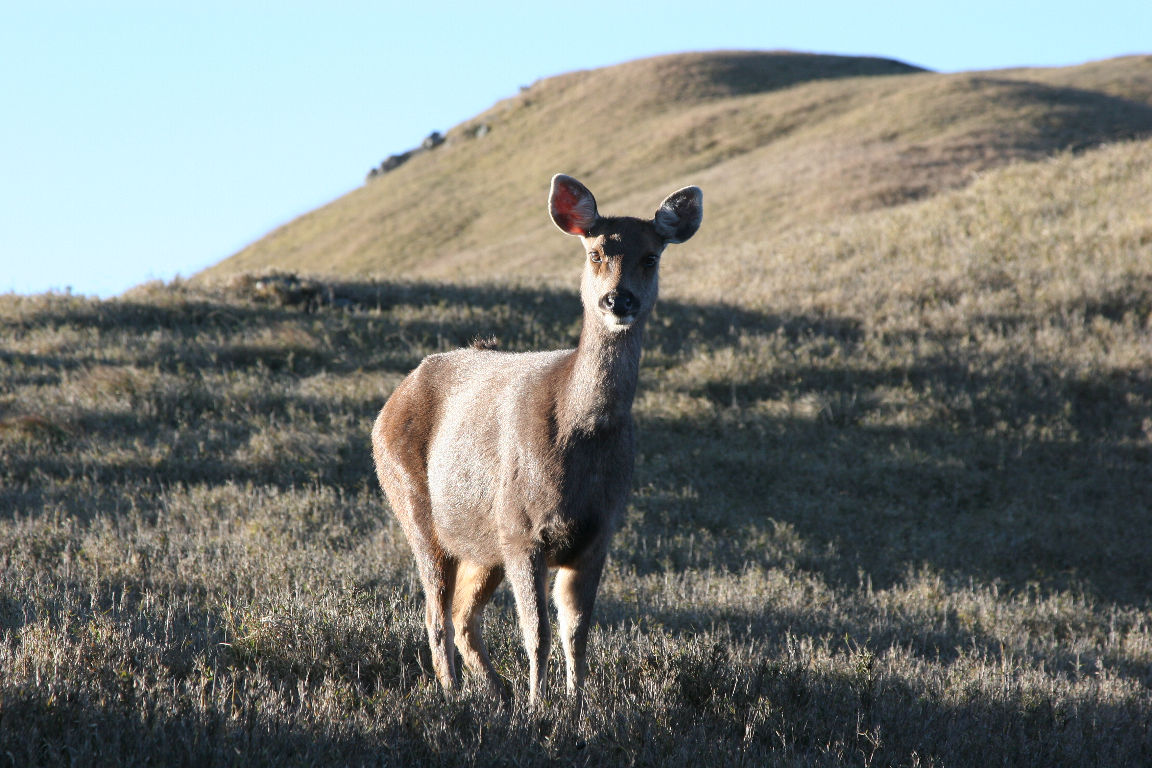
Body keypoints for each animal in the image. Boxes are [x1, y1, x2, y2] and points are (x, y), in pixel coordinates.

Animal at [371, 174, 703, 710]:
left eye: (651, 256)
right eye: (596, 252)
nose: (619, 301)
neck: (580, 434)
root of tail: (391, 402)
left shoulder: (598, 532)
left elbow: (577, 630)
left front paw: (576, 703)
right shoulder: (521, 528)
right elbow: (537, 632)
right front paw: (538, 705)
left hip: (483, 544)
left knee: (462, 616)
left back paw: (495, 690)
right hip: (416, 508)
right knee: (435, 615)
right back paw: (456, 694)